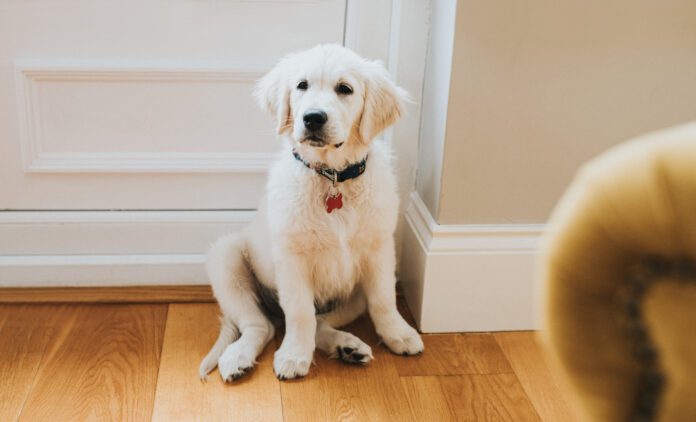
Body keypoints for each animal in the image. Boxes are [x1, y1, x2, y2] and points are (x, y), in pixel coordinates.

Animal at [198, 44, 422, 380]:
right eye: (301, 85)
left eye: (345, 89)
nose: (313, 118)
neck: (332, 177)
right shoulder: (292, 259)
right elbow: (300, 312)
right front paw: (294, 355)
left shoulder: (379, 249)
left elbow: (383, 299)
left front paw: (399, 333)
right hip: (226, 258)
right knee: (261, 325)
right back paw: (238, 357)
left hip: (352, 296)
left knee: (321, 323)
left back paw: (347, 346)